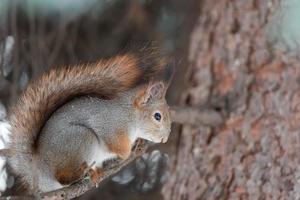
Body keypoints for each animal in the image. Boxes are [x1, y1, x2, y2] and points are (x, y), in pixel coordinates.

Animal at [1, 47, 173, 195]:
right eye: (157, 116)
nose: (165, 139)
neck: (130, 115)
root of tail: (38, 170)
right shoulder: (110, 125)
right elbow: (116, 144)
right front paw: (128, 152)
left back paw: (94, 173)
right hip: (83, 139)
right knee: (63, 178)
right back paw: (82, 174)